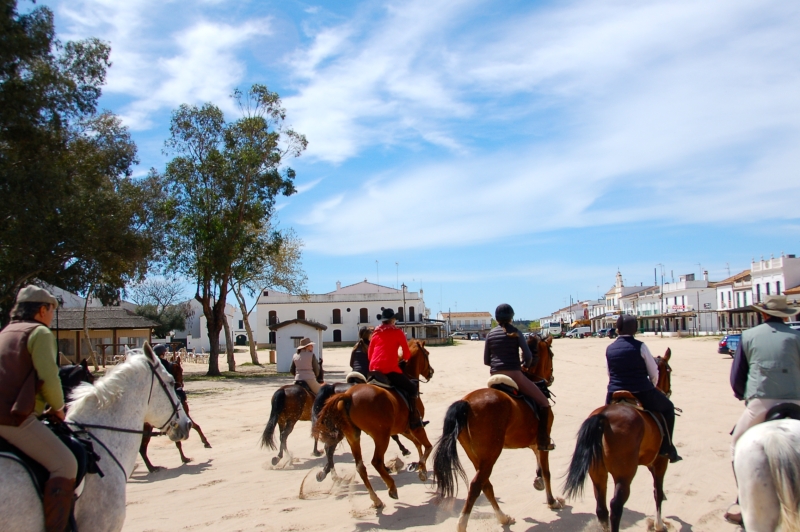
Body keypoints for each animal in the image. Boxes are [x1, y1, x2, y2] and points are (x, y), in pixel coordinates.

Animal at [314, 338, 438, 510]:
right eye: (427, 354)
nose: (431, 372)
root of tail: (347, 395)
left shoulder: (404, 429)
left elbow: (418, 445)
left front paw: (421, 469)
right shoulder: (416, 427)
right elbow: (427, 446)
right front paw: (421, 469)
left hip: (353, 436)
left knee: (358, 465)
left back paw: (375, 498)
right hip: (381, 436)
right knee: (375, 461)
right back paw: (391, 487)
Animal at [434, 332, 560, 532]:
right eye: (552, 355)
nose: (551, 377)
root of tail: (466, 403)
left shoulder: (534, 444)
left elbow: (539, 466)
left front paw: (538, 481)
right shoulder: (543, 441)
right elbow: (547, 471)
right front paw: (552, 501)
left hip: (477, 456)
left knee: (485, 484)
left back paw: (503, 517)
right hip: (492, 453)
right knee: (477, 485)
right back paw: (463, 523)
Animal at [564, 348, 676, 532]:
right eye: (669, 370)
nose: (668, 392)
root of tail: (603, 417)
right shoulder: (660, 462)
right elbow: (658, 493)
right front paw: (659, 525)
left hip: (598, 473)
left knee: (601, 509)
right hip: (624, 476)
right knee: (616, 506)